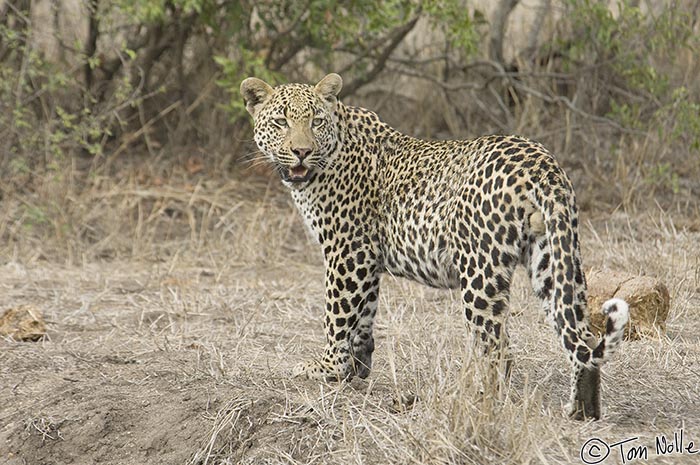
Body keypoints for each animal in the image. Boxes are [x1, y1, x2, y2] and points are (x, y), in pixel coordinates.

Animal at [241, 73, 628, 420]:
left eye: (316, 121)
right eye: (281, 122)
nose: (301, 152)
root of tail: (541, 161)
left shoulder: (348, 251)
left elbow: (337, 315)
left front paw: (327, 369)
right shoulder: (367, 259)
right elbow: (364, 315)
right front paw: (357, 369)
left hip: (480, 270)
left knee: (498, 347)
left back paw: (480, 401)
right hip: (552, 256)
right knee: (582, 335)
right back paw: (583, 411)